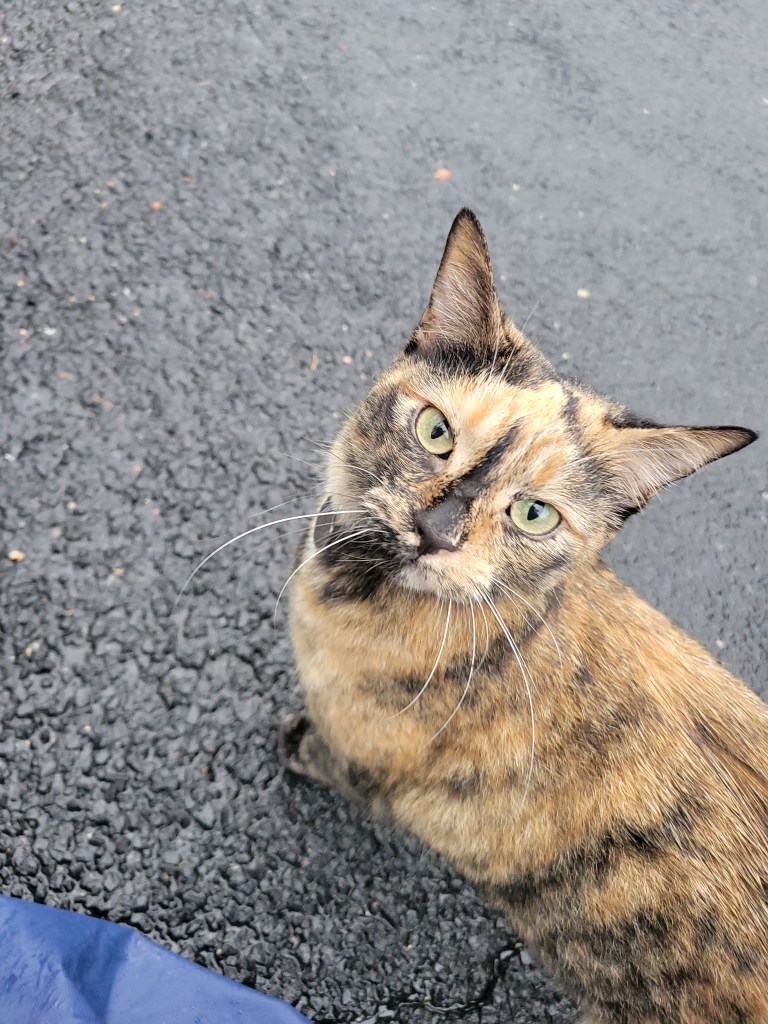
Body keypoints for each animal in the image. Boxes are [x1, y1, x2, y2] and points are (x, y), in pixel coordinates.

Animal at [277, 210, 766, 1023]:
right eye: (436, 431)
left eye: (533, 514)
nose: (436, 529)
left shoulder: (360, 753)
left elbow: (324, 755)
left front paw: (294, 747)